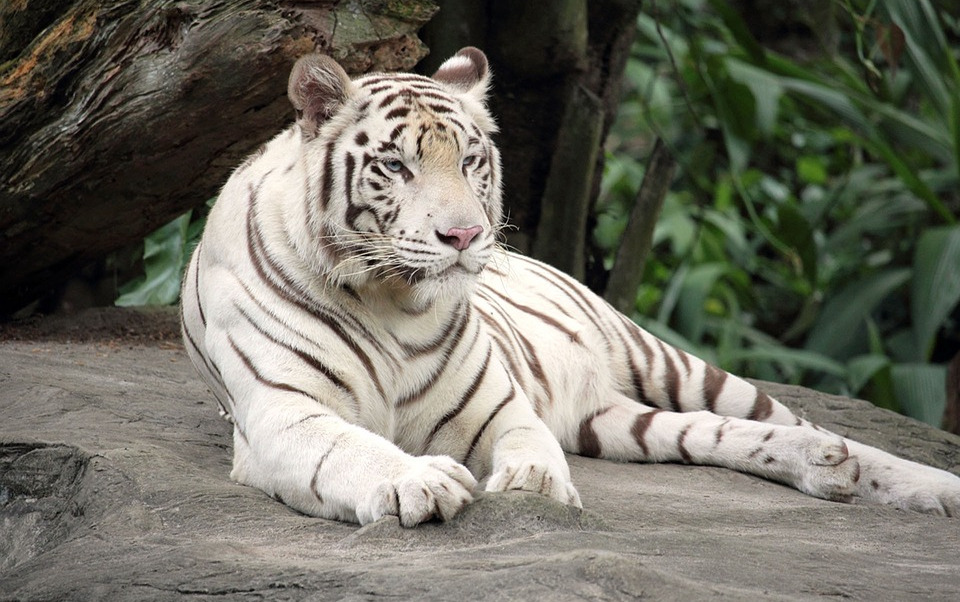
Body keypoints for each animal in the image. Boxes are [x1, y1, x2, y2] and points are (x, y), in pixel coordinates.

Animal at [180, 47, 960, 526]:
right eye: (397, 166)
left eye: (470, 160)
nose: (464, 237)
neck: (392, 299)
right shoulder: (285, 414)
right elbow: (352, 449)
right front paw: (419, 480)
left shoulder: (496, 407)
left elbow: (527, 443)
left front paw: (534, 485)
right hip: (615, 421)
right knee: (719, 435)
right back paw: (828, 472)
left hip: (669, 363)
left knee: (808, 424)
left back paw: (917, 483)